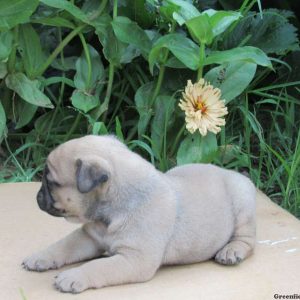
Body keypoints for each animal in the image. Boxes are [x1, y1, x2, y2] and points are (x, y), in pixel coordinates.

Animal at [22, 135, 255, 292]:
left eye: (51, 183)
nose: (37, 196)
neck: (111, 212)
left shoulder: (134, 259)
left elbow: (98, 265)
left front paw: (74, 275)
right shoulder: (88, 237)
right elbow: (63, 246)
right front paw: (40, 257)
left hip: (242, 203)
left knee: (247, 239)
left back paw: (231, 251)